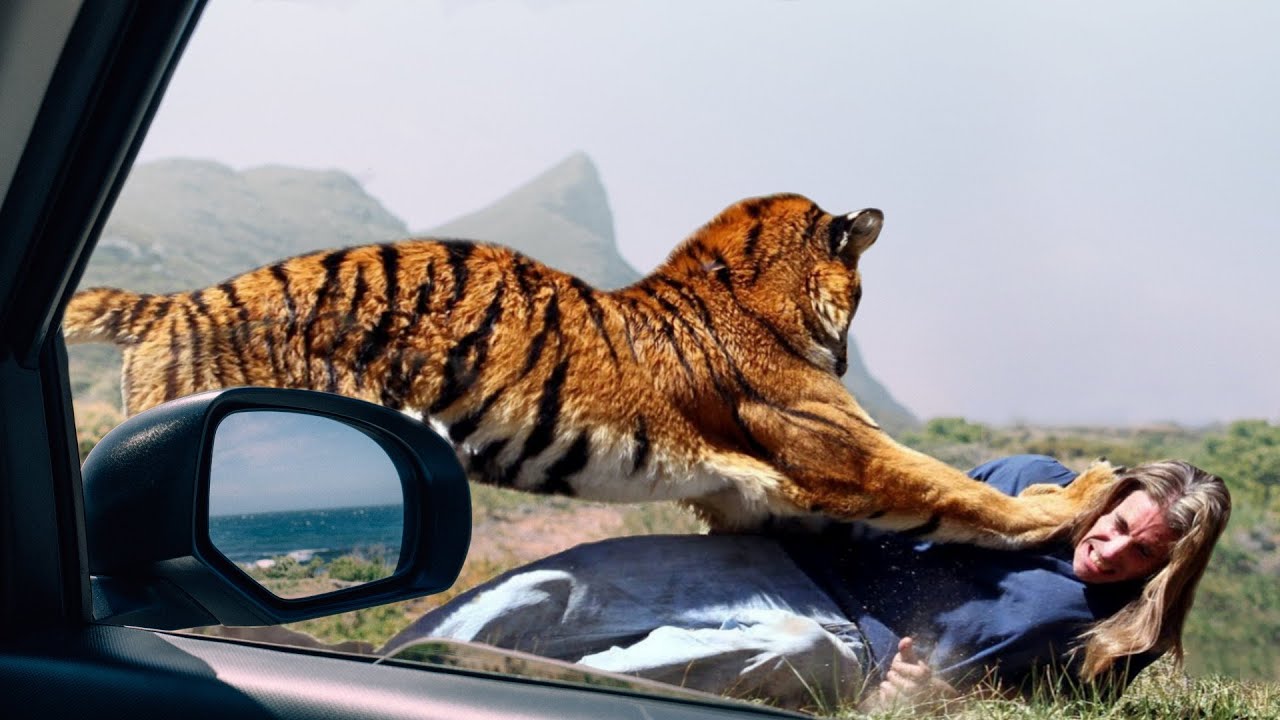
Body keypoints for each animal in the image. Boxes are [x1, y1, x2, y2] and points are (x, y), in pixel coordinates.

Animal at [64, 193, 1115, 546]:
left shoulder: (756, 495)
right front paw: (1080, 497)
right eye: (860, 290)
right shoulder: (842, 453)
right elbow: (955, 488)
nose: (853, 349)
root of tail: (176, 302)